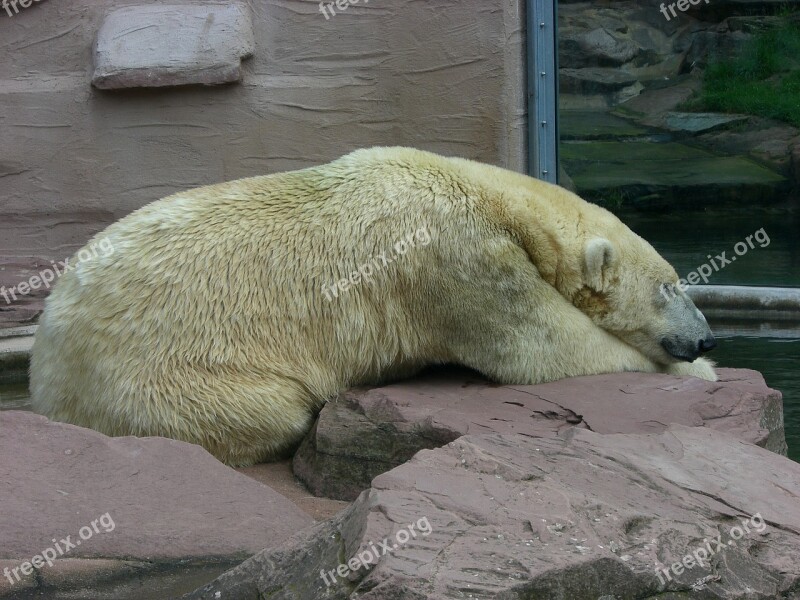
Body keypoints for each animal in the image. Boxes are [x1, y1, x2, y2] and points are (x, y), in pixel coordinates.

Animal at [31, 148, 720, 466]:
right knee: (272, 410)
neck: (489, 196)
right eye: (671, 285)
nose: (707, 338)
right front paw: (698, 373)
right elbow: (543, 346)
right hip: (162, 378)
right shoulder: (456, 258)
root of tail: (44, 377)